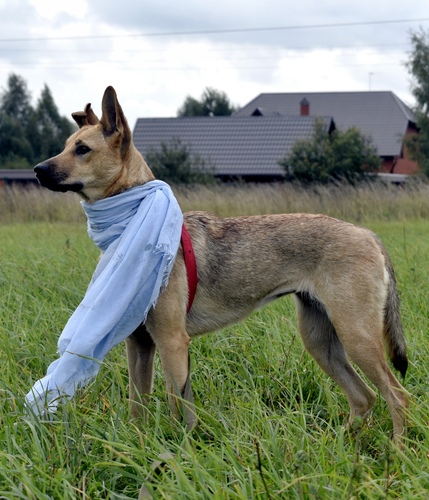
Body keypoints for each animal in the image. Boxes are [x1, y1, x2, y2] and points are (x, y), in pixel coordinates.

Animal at [34, 86, 409, 441]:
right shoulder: (139, 344)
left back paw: (397, 452)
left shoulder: (172, 341)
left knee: (397, 396)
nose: (38, 170)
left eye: (82, 149)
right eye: (66, 146)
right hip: (321, 340)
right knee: (364, 397)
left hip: (357, 336)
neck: (132, 222)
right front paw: (139, 450)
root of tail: (369, 235)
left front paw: (178, 453)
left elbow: (178, 408)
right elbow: (137, 408)